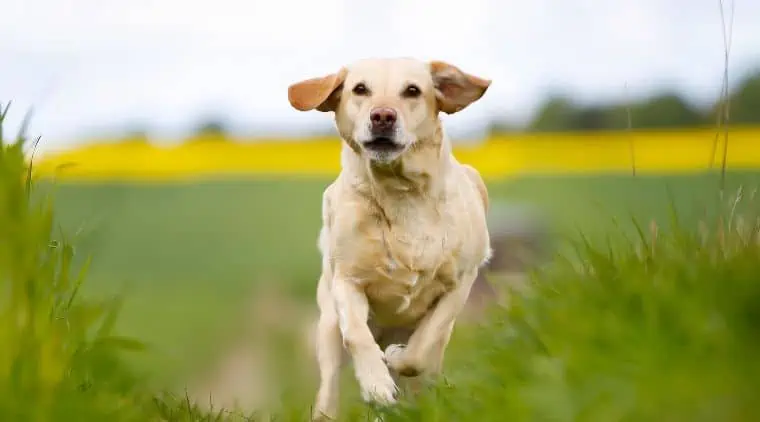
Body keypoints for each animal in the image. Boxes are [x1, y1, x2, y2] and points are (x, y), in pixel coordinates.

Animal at [286, 57, 492, 420]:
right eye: (360, 89)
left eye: (412, 90)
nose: (382, 116)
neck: (400, 194)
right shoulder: (347, 281)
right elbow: (357, 335)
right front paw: (376, 383)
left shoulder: (461, 282)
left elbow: (421, 348)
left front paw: (396, 357)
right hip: (327, 328)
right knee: (329, 388)